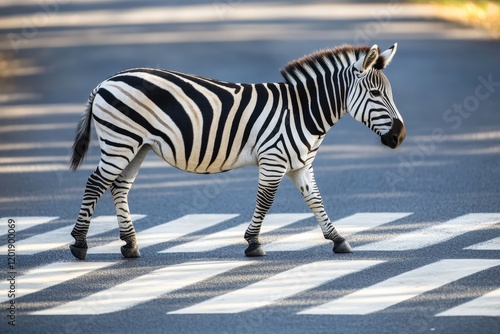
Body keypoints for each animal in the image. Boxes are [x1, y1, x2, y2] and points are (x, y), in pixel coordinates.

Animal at [69, 42, 406, 260]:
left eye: (388, 93)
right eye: (375, 93)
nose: (400, 136)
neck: (302, 112)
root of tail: (105, 82)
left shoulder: (301, 165)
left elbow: (316, 201)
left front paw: (338, 239)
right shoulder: (273, 160)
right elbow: (266, 201)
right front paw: (253, 243)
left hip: (137, 145)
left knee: (119, 187)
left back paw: (130, 245)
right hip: (121, 141)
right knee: (95, 183)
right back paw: (80, 244)